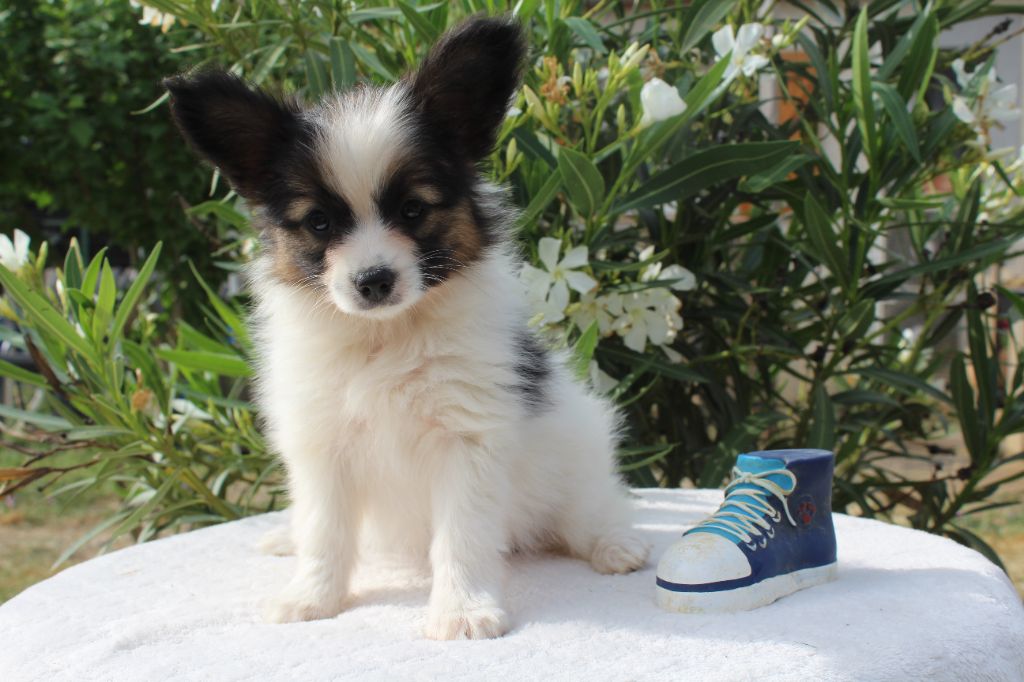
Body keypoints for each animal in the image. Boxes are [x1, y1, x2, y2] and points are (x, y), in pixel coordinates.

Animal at [164, 17, 648, 640]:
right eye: (319, 223)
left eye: (414, 210)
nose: (373, 280)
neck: (384, 337)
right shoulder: (322, 444)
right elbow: (323, 532)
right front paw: (311, 597)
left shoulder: (468, 440)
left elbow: (462, 537)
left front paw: (462, 610)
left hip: (577, 455)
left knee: (592, 509)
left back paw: (614, 545)